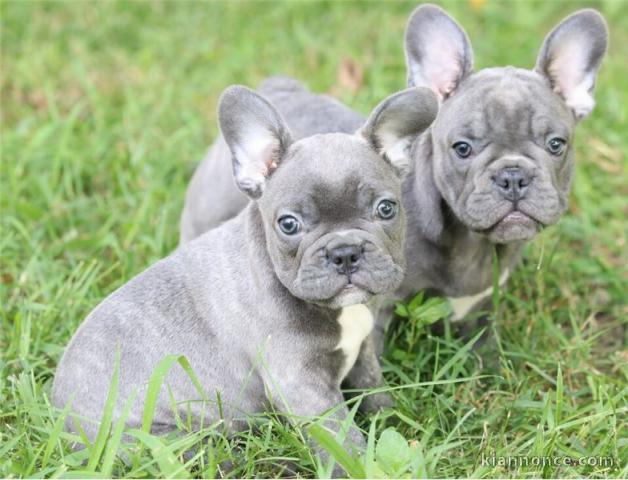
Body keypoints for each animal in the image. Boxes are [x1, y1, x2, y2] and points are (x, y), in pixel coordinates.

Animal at [52, 83, 436, 468]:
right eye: (288, 224)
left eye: (386, 208)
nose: (345, 252)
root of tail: (64, 420)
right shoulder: (301, 385)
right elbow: (341, 437)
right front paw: (361, 464)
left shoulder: (363, 347)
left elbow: (373, 385)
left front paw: (391, 418)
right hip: (176, 439)